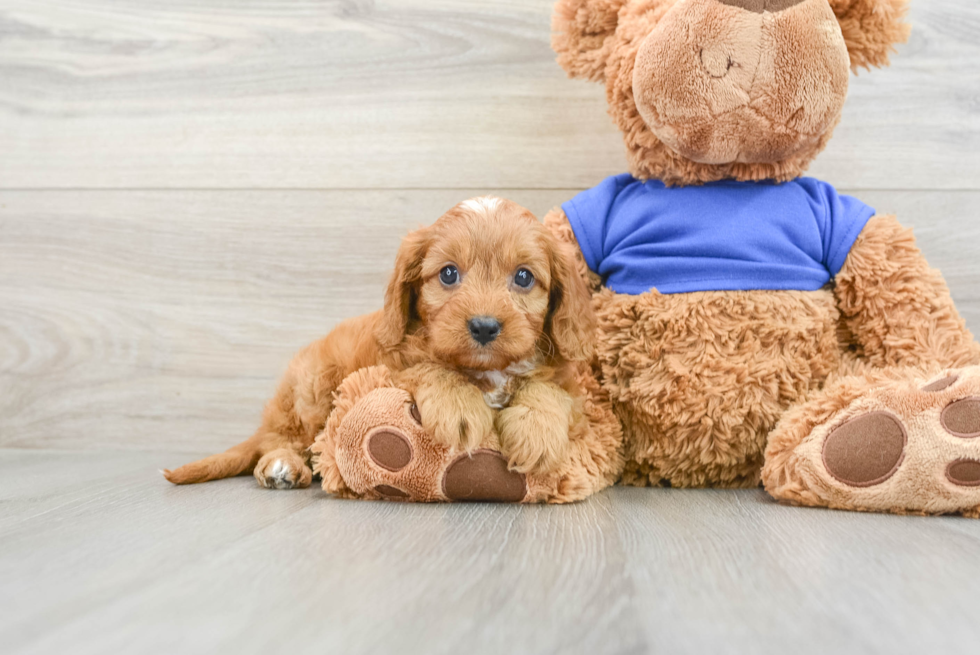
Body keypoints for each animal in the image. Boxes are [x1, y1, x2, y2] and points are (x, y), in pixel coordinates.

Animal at [165, 197, 592, 490]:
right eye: (448, 274)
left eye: (523, 277)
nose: (485, 327)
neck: (486, 370)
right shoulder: (390, 366)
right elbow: (430, 367)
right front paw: (459, 406)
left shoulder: (566, 381)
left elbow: (549, 390)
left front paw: (537, 432)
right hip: (312, 390)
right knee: (283, 439)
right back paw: (281, 465)